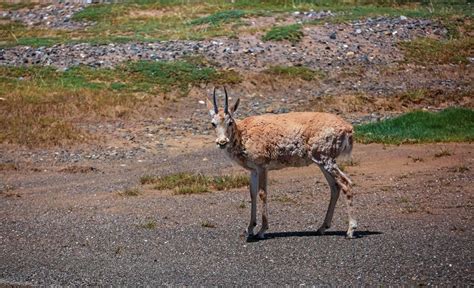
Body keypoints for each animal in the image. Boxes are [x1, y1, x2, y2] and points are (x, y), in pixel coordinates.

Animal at [206, 86, 358, 240]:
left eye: (230, 122)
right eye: (213, 123)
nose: (222, 142)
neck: (243, 134)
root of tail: (348, 128)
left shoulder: (262, 167)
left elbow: (262, 193)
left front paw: (262, 230)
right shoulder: (253, 170)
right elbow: (252, 194)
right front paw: (249, 229)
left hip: (326, 161)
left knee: (346, 183)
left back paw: (350, 230)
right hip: (321, 162)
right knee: (335, 187)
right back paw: (321, 228)